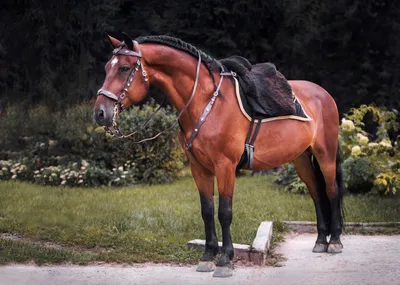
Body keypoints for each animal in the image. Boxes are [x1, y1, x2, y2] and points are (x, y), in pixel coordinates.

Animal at [93, 33, 344, 278]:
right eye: (106, 67)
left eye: (124, 68)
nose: (100, 113)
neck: (207, 101)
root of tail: (324, 94)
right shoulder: (199, 168)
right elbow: (207, 211)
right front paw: (207, 257)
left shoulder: (225, 166)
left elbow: (224, 212)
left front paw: (225, 261)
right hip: (301, 158)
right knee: (316, 193)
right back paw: (320, 241)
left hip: (325, 154)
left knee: (331, 191)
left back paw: (335, 242)